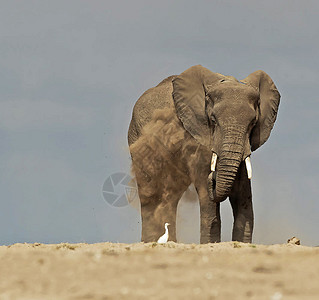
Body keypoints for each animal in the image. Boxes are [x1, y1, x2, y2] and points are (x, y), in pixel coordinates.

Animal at [127, 65, 280, 244]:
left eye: (253, 123)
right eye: (213, 121)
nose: (213, 178)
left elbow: (242, 193)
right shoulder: (195, 136)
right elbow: (207, 193)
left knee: (170, 197)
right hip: (136, 138)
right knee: (149, 193)